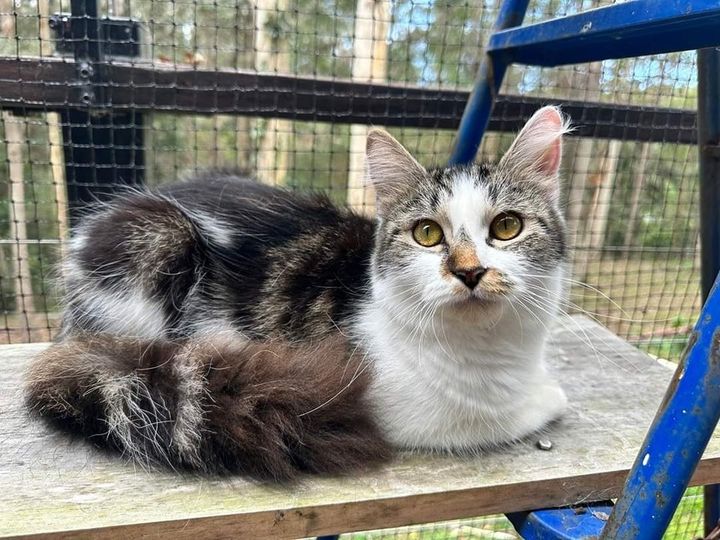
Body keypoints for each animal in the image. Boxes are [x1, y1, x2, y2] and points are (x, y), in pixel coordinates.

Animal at [25, 105, 572, 480]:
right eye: (427, 234)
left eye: (507, 227)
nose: (469, 271)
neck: (487, 353)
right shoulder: (387, 404)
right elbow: (510, 415)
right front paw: (549, 395)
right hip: (157, 240)